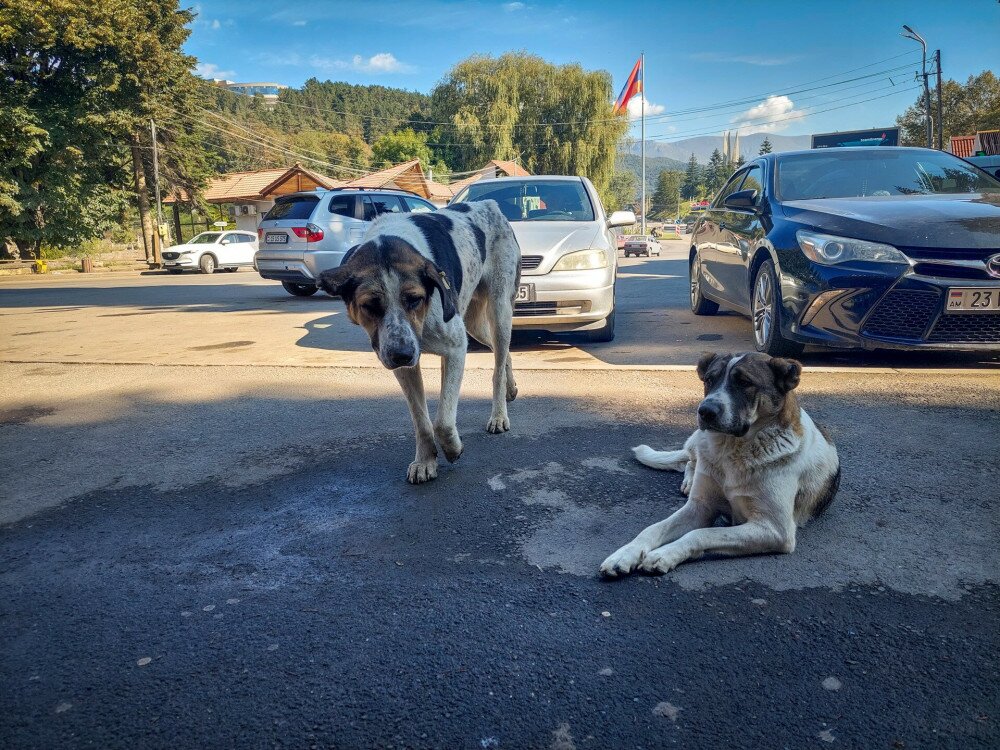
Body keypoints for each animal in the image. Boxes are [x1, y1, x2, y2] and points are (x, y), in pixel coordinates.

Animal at [318, 200, 524, 484]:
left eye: (414, 299)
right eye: (370, 306)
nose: (402, 355)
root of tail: (488, 204)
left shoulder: (456, 348)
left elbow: (443, 421)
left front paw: (453, 448)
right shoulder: (404, 363)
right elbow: (422, 420)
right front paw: (426, 461)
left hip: (499, 310)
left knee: (498, 363)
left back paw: (499, 415)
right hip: (473, 324)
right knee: (502, 354)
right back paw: (510, 388)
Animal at [596, 354, 840, 580]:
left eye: (744, 382)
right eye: (709, 380)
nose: (704, 411)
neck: (731, 450)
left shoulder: (775, 529)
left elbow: (702, 533)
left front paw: (663, 554)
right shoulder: (699, 508)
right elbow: (652, 528)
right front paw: (624, 554)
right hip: (698, 441)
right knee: (690, 460)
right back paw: (689, 481)